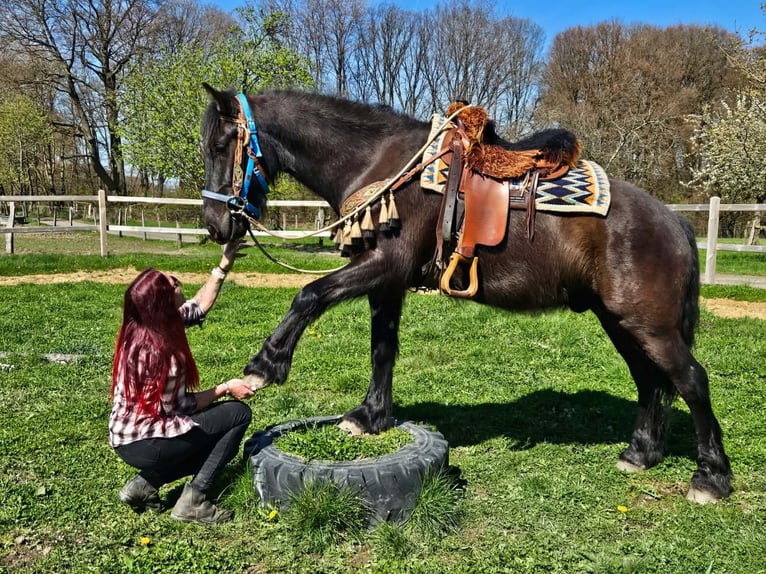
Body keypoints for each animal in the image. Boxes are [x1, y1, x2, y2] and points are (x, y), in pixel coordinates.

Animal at [199, 84, 732, 503]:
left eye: (222, 144)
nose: (216, 225)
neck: (380, 163)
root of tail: (674, 221)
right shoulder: (386, 283)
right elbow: (382, 348)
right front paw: (370, 417)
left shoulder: (381, 266)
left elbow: (309, 295)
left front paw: (264, 367)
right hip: (621, 322)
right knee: (650, 381)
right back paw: (640, 454)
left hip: (649, 324)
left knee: (691, 380)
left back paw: (710, 479)